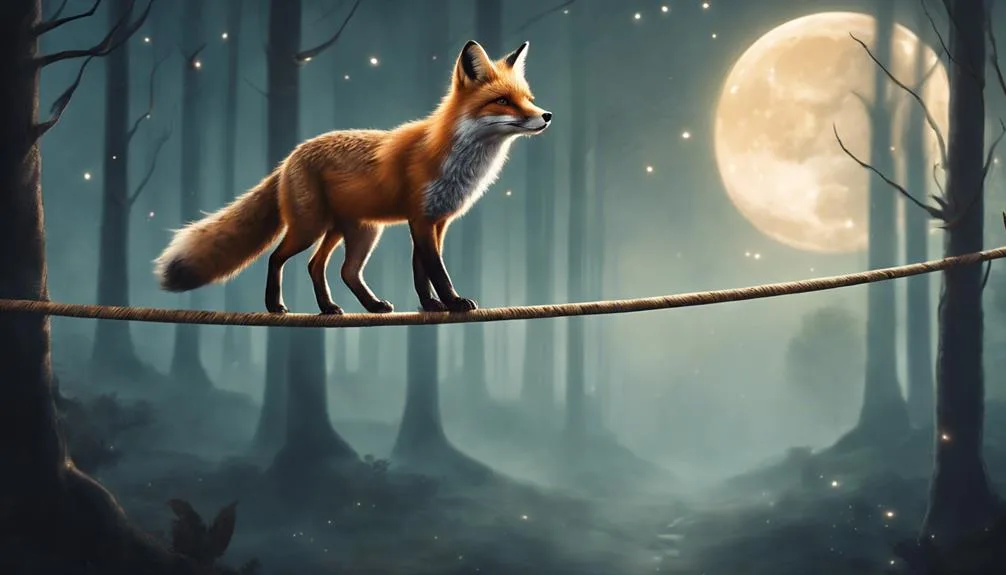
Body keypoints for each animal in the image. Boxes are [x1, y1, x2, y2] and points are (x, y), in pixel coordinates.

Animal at [153, 40, 551, 315]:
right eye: (503, 101)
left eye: (528, 98)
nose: (546, 115)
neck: (457, 158)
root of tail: (289, 157)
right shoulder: (421, 218)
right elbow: (436, 270)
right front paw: (452, 302)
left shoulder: (436, 221)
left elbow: (421, 270)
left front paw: (430, 305)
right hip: (312, 226)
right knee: (279, 258)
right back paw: (275, 305)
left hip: (356, 230)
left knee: (329, 268)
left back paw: (346, 307)